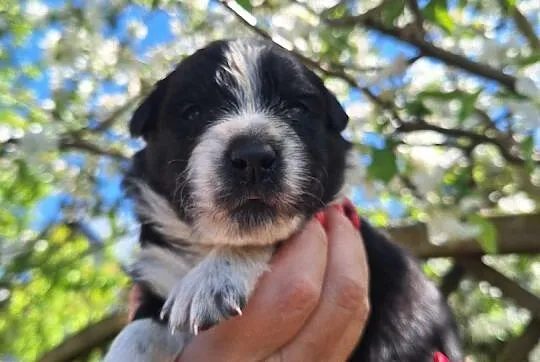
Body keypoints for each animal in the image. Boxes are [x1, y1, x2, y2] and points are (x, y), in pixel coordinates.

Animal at [105, 39, 464, 362]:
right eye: (192, 112)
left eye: (297, 109)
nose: (253, 157)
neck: (206, 246)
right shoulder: (157, 276)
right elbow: (139, 331)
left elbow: (272, 236)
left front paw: (212, 279)